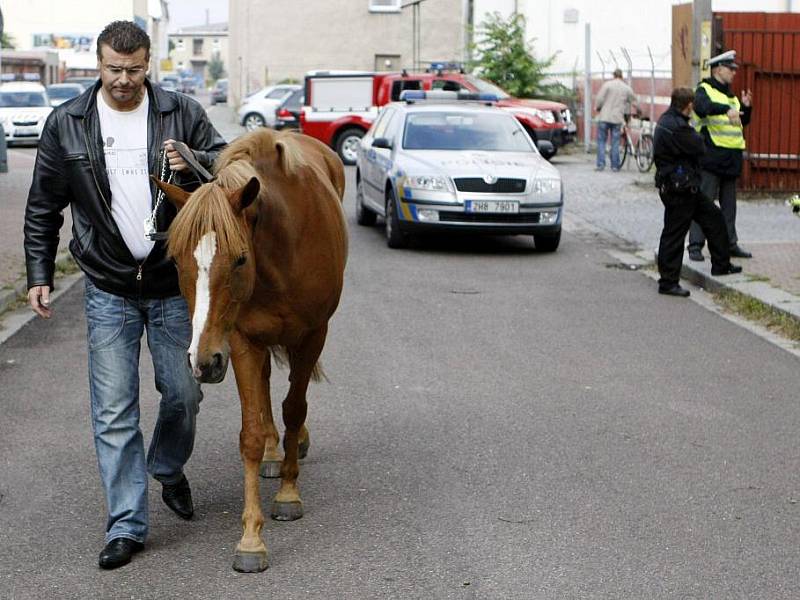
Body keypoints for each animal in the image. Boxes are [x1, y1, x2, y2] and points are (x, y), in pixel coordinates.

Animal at [155, 130, 346, 572]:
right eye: (175, 260)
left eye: (240, 258)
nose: (202, 361)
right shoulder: (242, 342)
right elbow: (251, 435)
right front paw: (251, 538)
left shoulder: (313, 335)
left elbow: (295, 408)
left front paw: (289, 495)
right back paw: (276, 453)